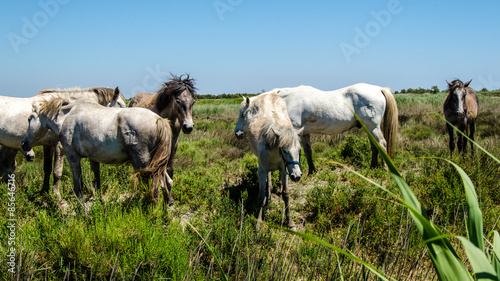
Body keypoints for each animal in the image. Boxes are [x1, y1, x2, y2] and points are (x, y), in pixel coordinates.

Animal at [22, 94, 176, 203]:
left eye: (30, 118)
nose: (24, 144)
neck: (67, 117)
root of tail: (159, 120)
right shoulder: (93, 158)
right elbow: (96, 181)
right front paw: (97, 201)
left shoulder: (72, 157)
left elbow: (78, 186)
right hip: (155, 163)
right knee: (167, 183)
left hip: (143, 164)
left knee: (155, 189)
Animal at [233, 93, 302, 229]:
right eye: (284, 150)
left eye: (299, 150)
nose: (296, 176)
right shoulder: (261, 171)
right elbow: (260, 197)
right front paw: (258, 224)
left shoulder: (285, 171)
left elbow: (286, 194)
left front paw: (290, 222)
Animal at [266, 82, 398, 172]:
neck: (287, 101)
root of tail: (379, 89)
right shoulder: (304, 133)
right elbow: (308, 152)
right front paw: (312, 171)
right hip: (369, 128)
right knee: (374, 146)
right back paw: (372, 167)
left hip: (373, 126)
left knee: (382, 143)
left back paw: (385, 169)